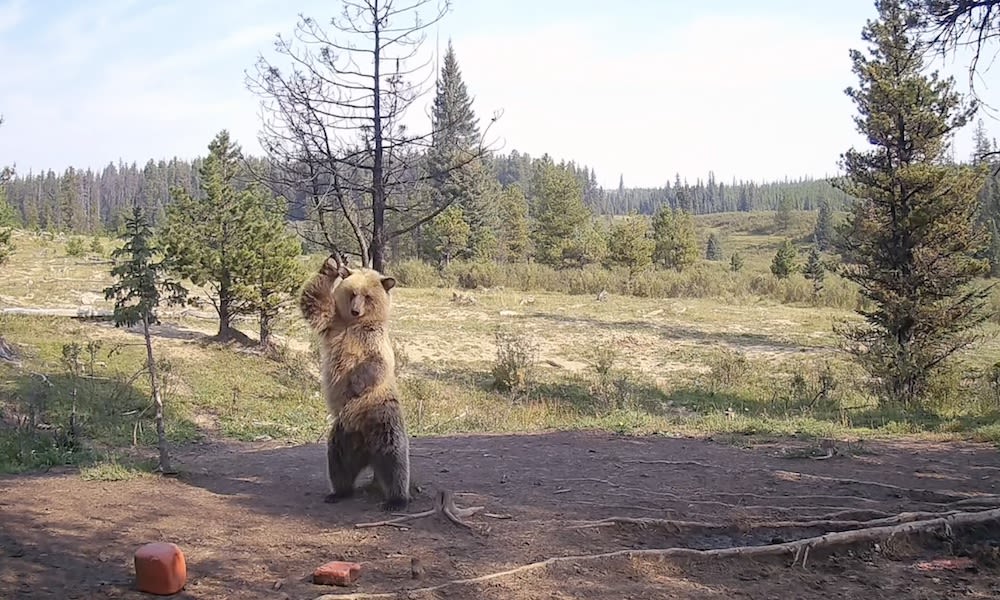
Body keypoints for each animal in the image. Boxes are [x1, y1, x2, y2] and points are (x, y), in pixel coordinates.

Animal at [296, 256, 410, 510]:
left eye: (368, 296)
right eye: (352, 293)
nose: (355, 310)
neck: (354, 325)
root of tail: (367, 451)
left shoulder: (373, 342)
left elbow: (375, 364)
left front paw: (355, 384)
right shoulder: (332, 324)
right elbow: (314, 301)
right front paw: (330, 266)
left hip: (381, 417)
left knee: (394, 457)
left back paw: (396, 499)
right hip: (343, 434)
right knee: (339, 462)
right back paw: (339, 492)